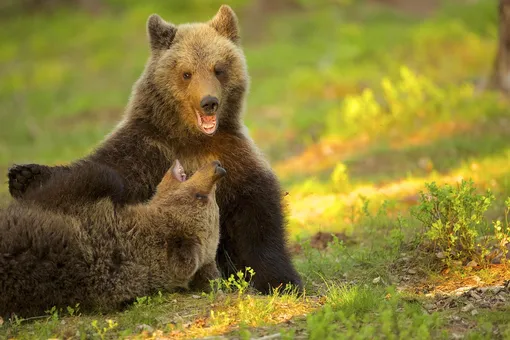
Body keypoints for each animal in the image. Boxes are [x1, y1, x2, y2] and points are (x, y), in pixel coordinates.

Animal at [7, 4, 300, 292]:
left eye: (218, 68)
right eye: (186, 73)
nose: (209, 102)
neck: (191, 138)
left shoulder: (233, 157)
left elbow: (257, 218)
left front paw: (281, 280)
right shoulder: (146, 149)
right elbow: (107, 172)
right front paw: (25, 176)